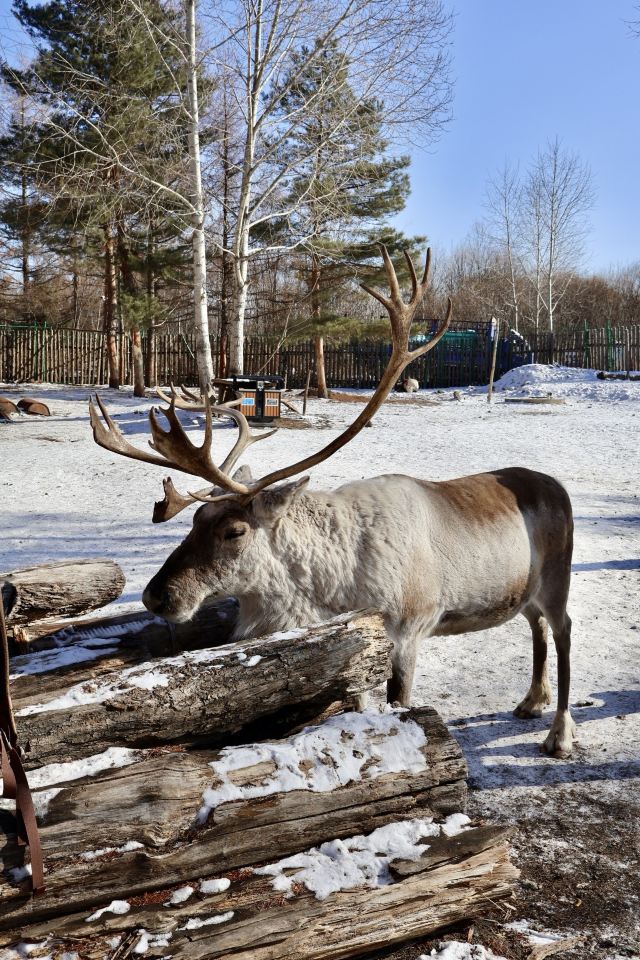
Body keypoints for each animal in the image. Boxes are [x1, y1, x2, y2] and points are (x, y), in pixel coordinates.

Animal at [89, 246, 576, 758]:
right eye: (197, 516)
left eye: (234, 531)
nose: (156, 594)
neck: (331, 585)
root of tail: (558, 488)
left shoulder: (411, 626)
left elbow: (399, 700)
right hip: (525, 589)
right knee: (537, 626)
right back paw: (531, 700)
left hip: (558, 577)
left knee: (563, 629)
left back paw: (559, 732)